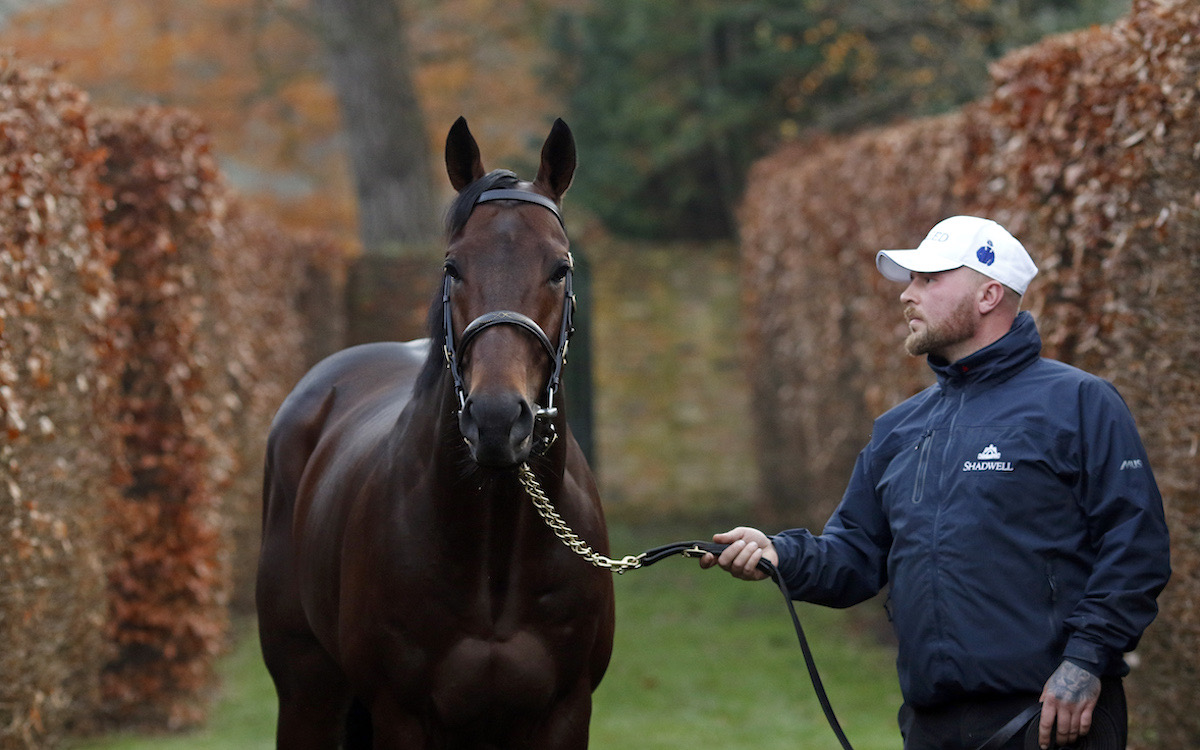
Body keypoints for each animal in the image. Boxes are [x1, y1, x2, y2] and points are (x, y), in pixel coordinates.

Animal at [254, 118, 614, 748]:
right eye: (452, 266)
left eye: (560, 268)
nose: (497, 420)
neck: (494, 553)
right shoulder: (402, 716)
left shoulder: (566, 714)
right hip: (306, 695)